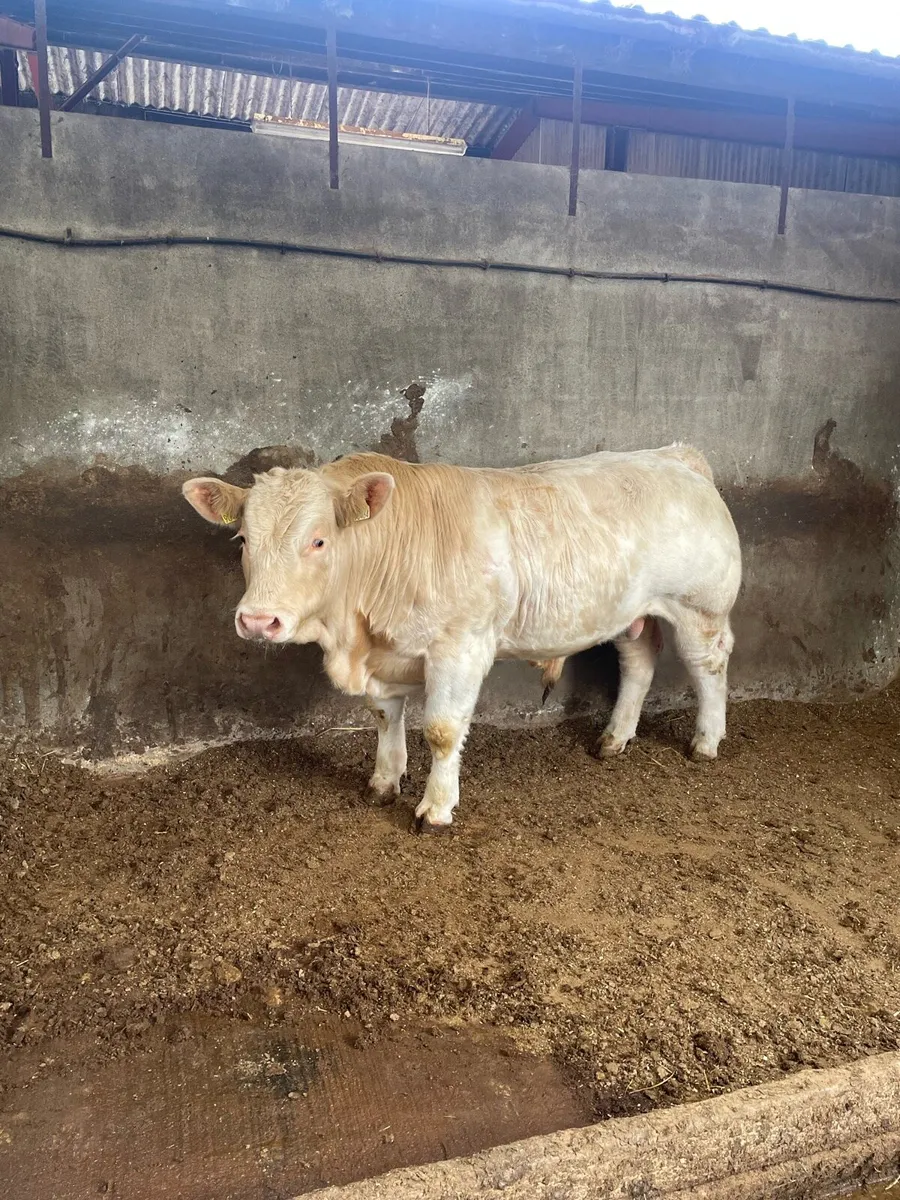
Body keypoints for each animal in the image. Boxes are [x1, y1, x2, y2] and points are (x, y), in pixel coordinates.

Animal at [183, 444, 741, 831]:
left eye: (318, 541)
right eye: (242, 539)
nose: (259, 620)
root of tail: (676, 456)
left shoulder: (461, 647)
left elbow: (442, 730)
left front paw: (435, 807)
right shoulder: (386, 657)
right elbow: (384, 717)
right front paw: (385, 781)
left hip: (700, 607)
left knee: (709, 666)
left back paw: (706, 741)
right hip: (630, 612)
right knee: (640, 661)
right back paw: (614, 737)